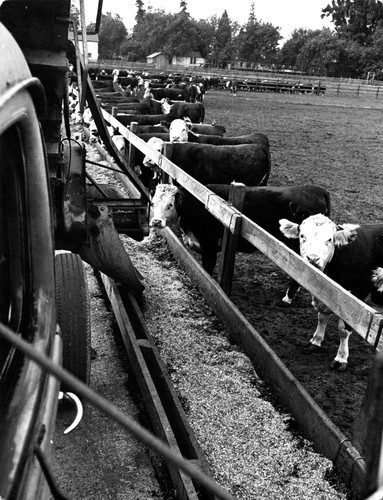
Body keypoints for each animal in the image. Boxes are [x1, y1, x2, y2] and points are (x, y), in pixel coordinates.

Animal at [152, 184, 332, 304]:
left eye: (169, 205)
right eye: (153, 203)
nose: (155, 221)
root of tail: (318, 190)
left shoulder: (209, 247)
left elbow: (206, 273)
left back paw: (288, 297)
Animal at [280, 212, 383, 372]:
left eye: (330, 239)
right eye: (302, 236)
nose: (313, 258)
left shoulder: (356, 301)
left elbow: (343, 330)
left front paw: (341, 359)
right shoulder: (325, 296)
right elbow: (322, 317)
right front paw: (316, 341)